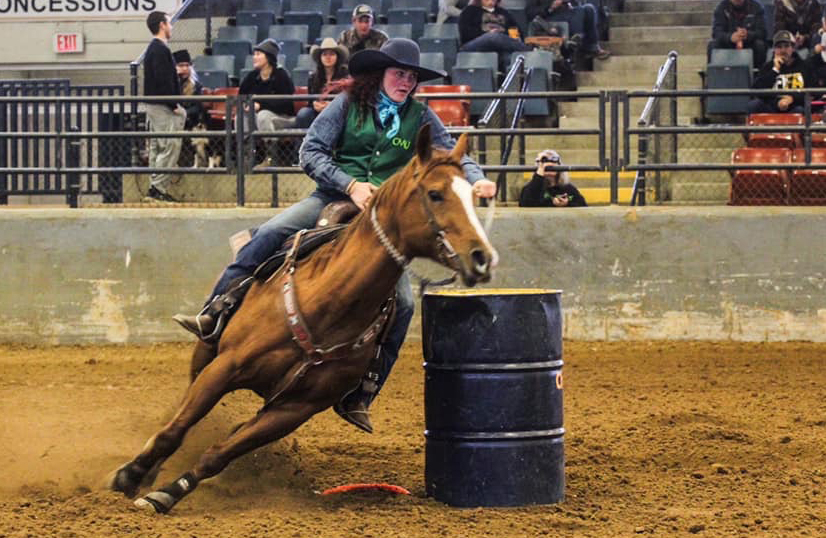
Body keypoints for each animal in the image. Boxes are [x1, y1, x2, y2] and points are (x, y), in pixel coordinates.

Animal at [108, 124, 496, 510]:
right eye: (435, 194)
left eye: (472, 197)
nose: (482, 257)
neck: (327, 303)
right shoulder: (225, 366)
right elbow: (175, 430)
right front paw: (129, 476)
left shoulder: (294, 410)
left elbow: (218, 455)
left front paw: (166, 493)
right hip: (206, 352)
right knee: (183, 406)